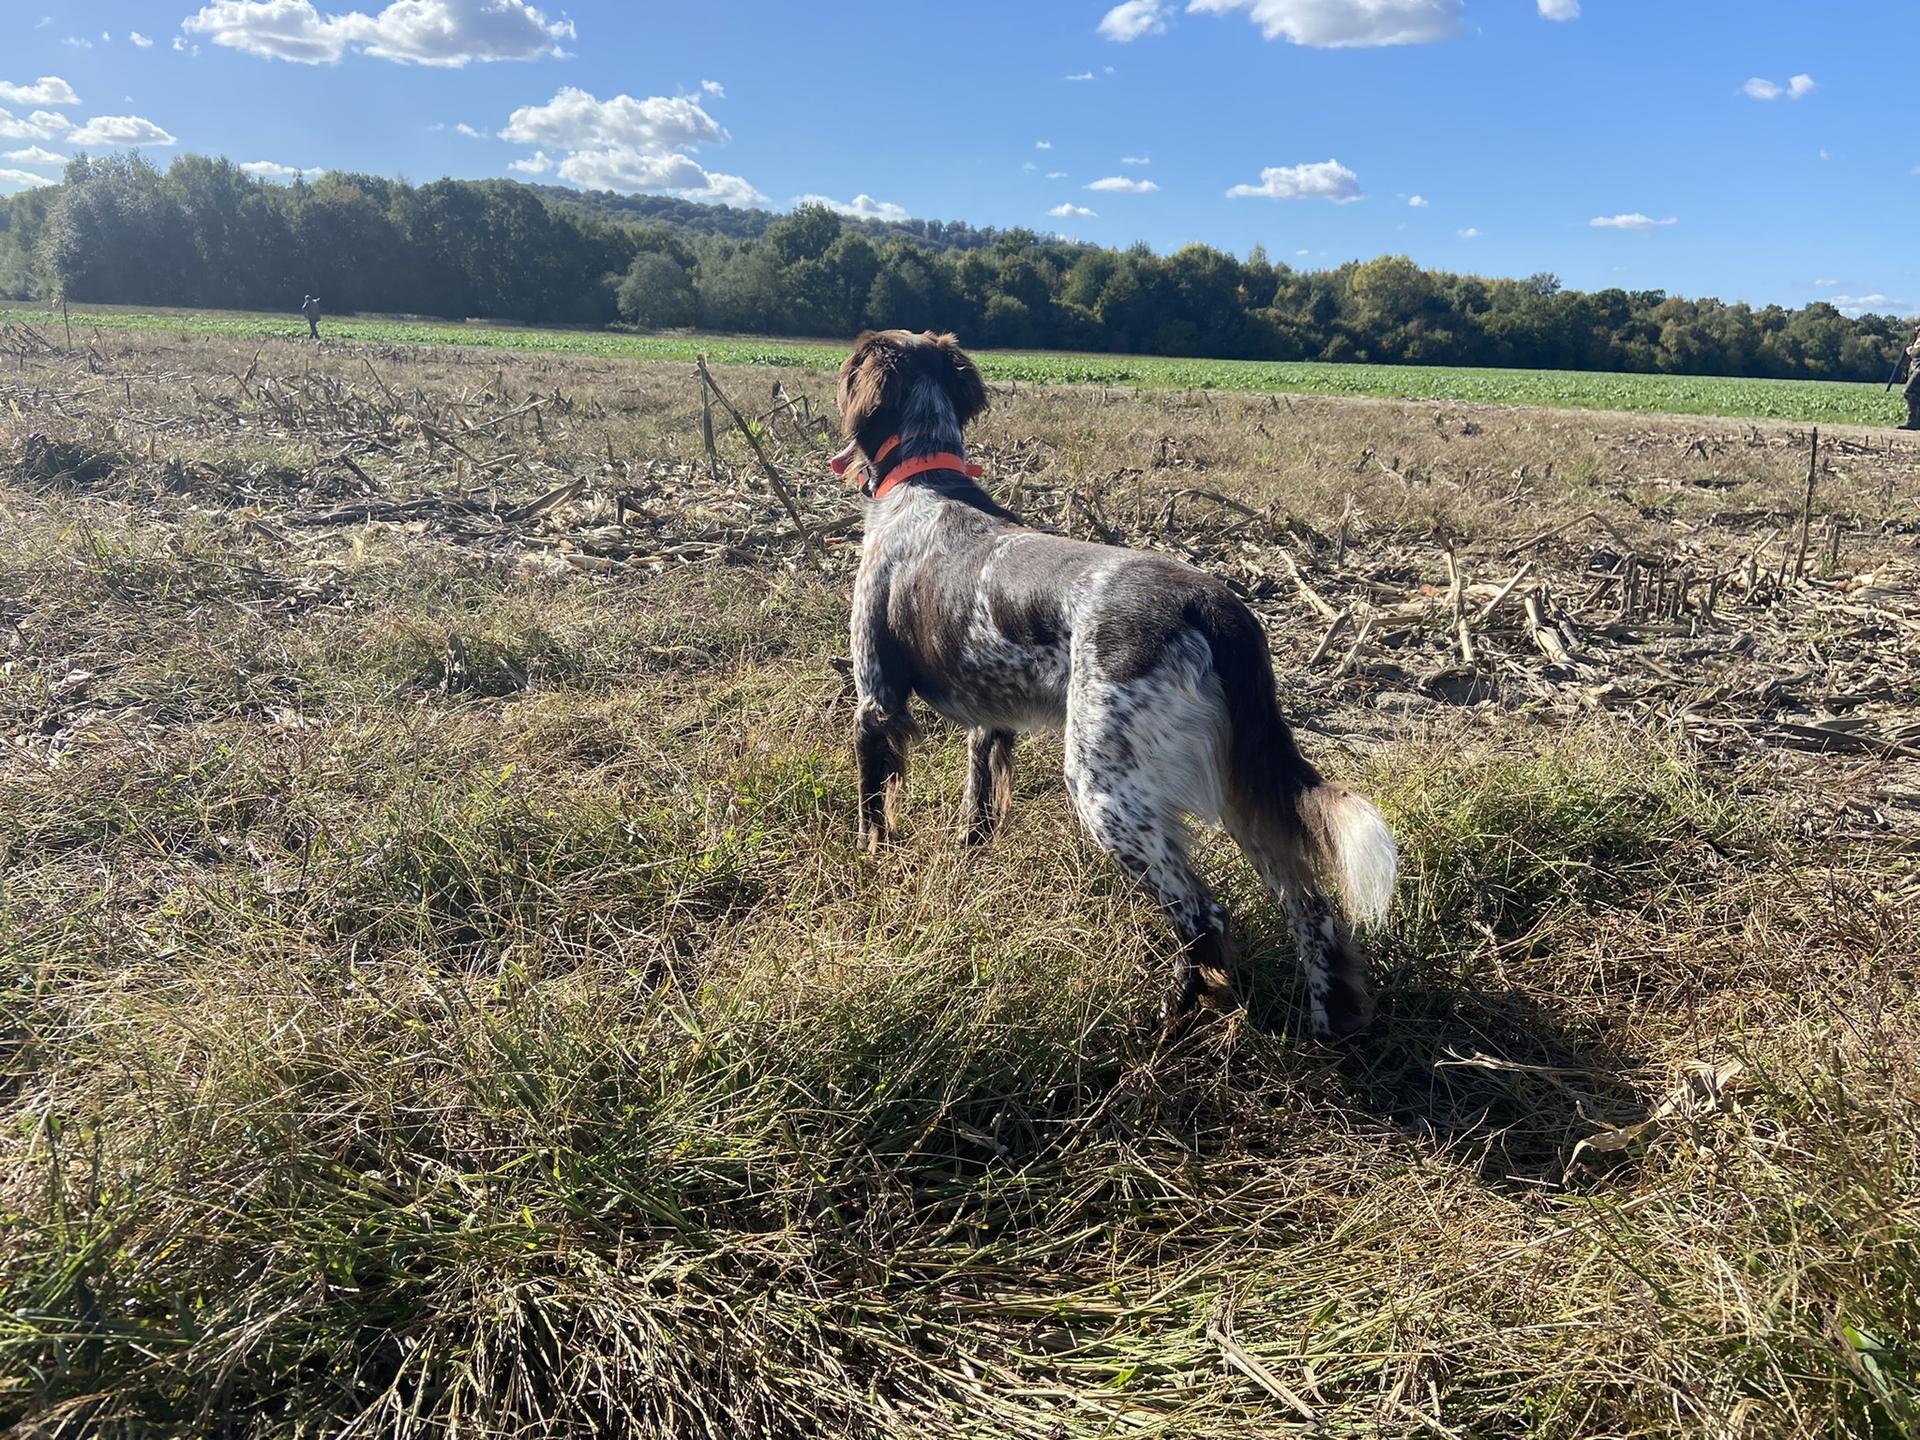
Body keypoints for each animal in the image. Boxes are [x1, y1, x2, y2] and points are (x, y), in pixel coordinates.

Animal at [829, 332, 1397, 1044]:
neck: (924, 482)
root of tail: (1215, 606)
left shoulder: (875, 701)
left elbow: (871, 807)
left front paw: (869, 866)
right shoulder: (991, 717)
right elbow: (978, 804)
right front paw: (968, 861)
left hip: (1105, 787)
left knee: (1204, 915)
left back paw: (1171, 1021)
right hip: (1241, 785)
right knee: (1310, 909)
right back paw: (1326, 1027)